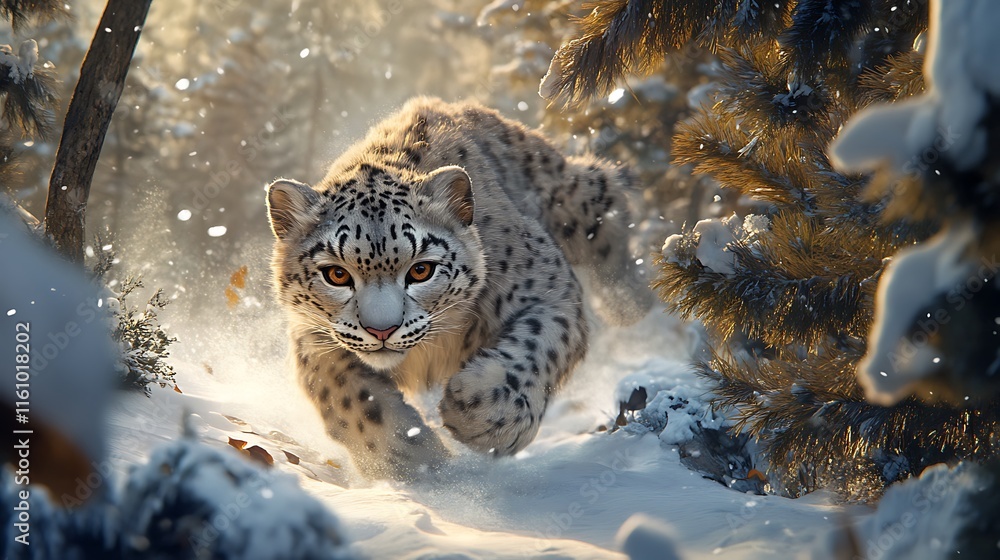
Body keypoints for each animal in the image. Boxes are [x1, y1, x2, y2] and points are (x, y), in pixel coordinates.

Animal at [266, 97, 652, 480]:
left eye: (421, 270)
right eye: (337, 275)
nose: (382, 330)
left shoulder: (549, 290)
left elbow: (535, 345)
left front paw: (482, 413)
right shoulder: (312, 337)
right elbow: (351, 398)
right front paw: (414, 458)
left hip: (572, 201)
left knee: (606, 200)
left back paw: (630, 302)